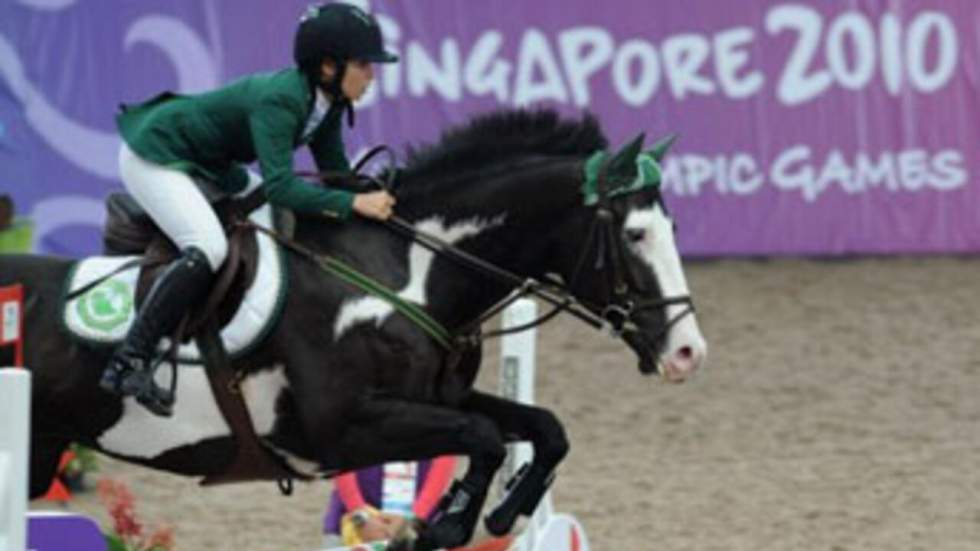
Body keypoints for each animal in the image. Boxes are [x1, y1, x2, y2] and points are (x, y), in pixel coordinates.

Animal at [1, 109, 704, 551]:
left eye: (672, 228)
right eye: (635, 235)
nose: (689, 352)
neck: (408, 273)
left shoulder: (436, 398)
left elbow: (544, 430)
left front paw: (499, 514)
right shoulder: (340, 429)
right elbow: (484, 437)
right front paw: (442, 526)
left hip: (41, 451)